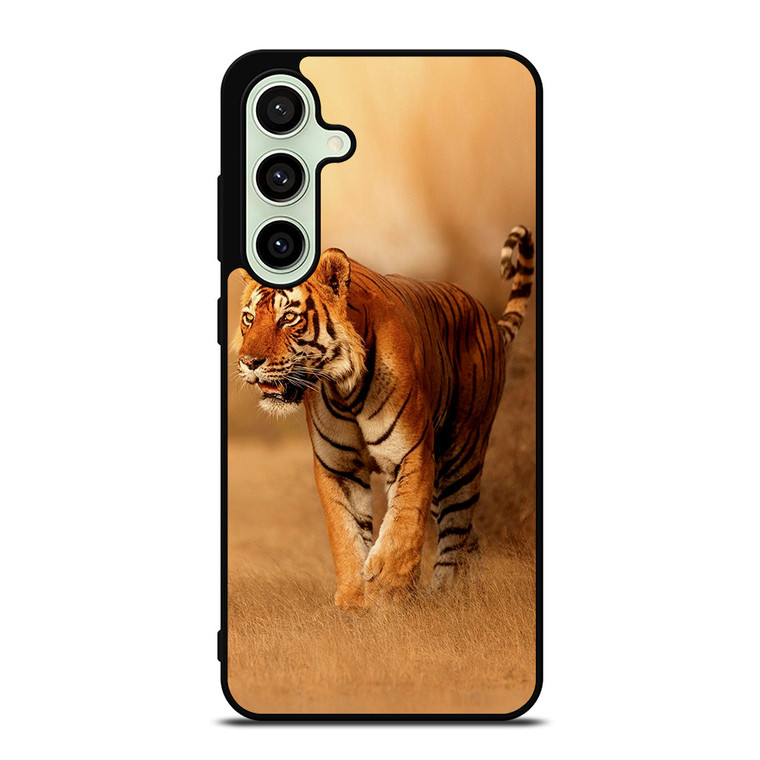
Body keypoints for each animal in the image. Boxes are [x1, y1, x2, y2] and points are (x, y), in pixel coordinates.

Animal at [236, 225, 535, 609]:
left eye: (289, 317)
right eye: (248, 318)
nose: (248, 362)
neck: (343, 388)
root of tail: (487, 318)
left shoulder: (412, 453)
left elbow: (403, 523)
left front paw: (388, 592)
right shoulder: (338, 467)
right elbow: (345, 533)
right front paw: (353, 600)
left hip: (461, 455)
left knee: (455, 530)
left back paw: (445, 594)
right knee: (468, 536)